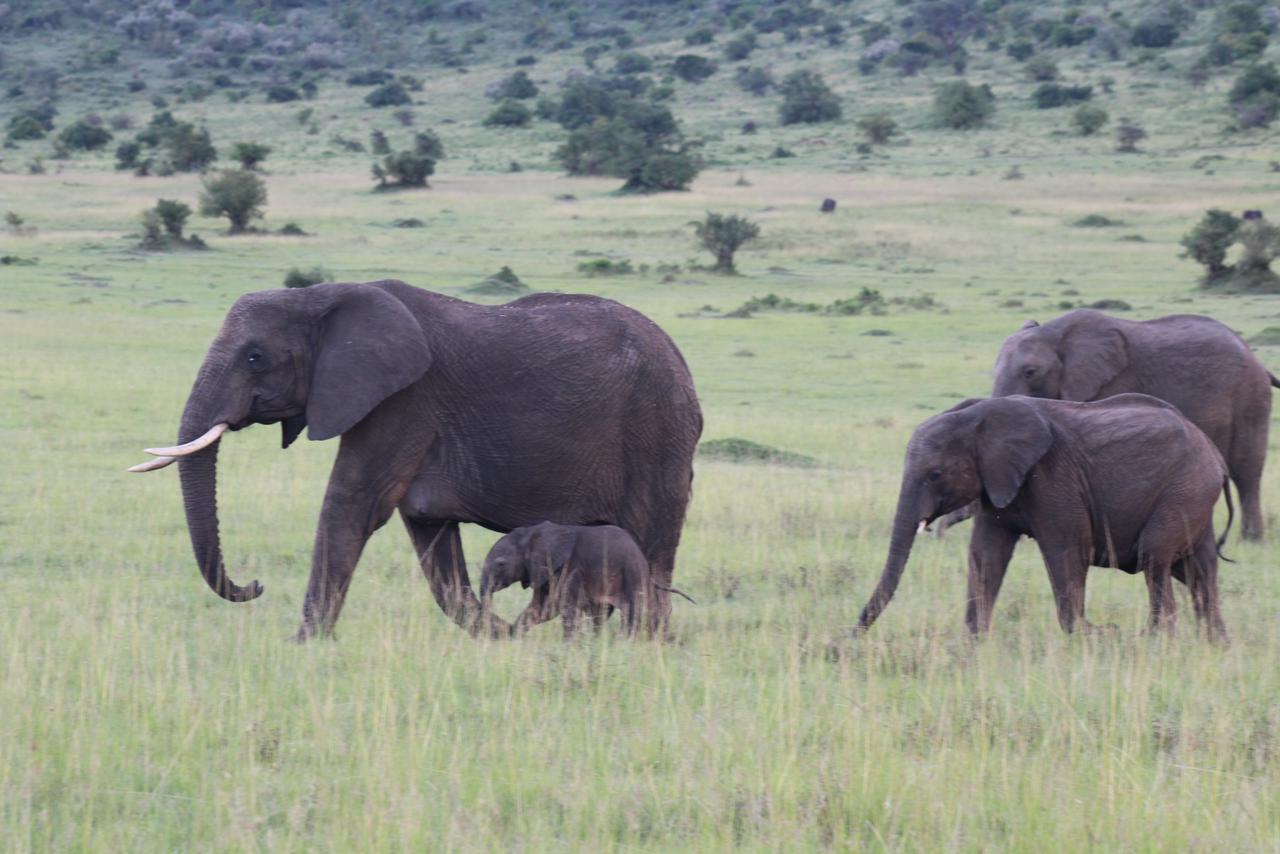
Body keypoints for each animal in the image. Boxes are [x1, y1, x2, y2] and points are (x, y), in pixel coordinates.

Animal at [479, 522, 693, 638]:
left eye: (500, 563)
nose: (499, 632)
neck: (532, 533)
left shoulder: (571, 570)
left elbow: (566, 610)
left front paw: (569, 647)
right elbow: (543, 609)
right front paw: (514, 636)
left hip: (632, 573)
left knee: (637, 611)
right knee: (603, 614)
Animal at [855, 394, 1232, 642]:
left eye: (935, 474)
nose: (850, 637)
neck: (979, 416)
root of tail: (1214, 453)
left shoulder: (1053, 477)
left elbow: (1066, 550)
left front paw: (1091, 636)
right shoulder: (997, 479)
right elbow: (986, 555)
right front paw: (973, 643)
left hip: (1186, 488)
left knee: (1154, 557)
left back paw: (1155, 639)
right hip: (1194, 495)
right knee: (1198, 569)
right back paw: (1214, 644)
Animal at [987, 309, 1277, 540]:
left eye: (1030, 372)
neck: (1056, 333)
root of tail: (1258, 362)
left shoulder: (1113, 383)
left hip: (1250, 397)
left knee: (1246, 469)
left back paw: (1251, 539)